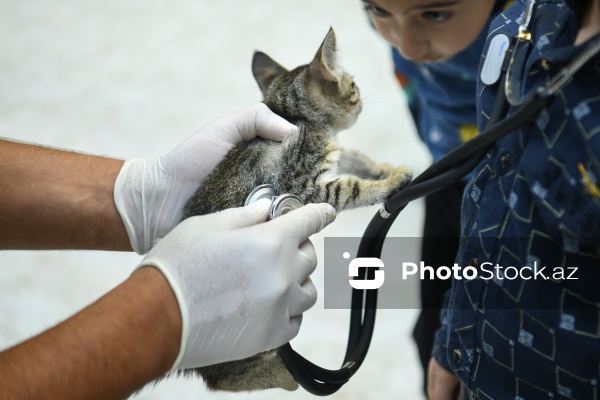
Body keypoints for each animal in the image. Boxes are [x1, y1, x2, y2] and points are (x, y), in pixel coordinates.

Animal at [180, 29, 410, 392]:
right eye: (353, 84)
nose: (360, 98)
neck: (294, 114)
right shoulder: (305, 184)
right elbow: (350, 187)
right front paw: (389, 182)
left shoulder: (333, 154)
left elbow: (353, 157)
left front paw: (382, 167)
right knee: (225, 378)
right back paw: (286, 376)